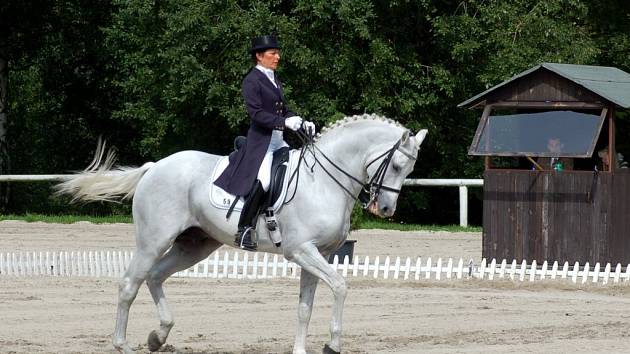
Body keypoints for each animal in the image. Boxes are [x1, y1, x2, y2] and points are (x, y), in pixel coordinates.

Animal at [56, 114, 430, 354]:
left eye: (410, 168)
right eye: (397, 165)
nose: (385, 209)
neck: (322, 180)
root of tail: (155, 167)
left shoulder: (317, 255)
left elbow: (305, 307)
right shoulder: (301, 251)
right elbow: (340, 285)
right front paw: (332, 344)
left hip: (195, 245)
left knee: (155, 277)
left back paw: (157, 337)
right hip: (153, 240)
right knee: (129, 284)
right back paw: (123, 344)